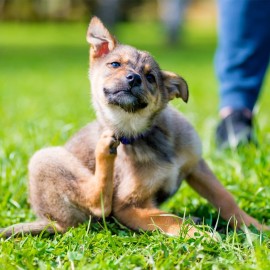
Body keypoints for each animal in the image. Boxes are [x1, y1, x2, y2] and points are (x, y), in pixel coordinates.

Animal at [0, 16, 266, 237]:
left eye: (150, 77)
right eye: (115, 64)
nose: (133, 78)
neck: (143, 134)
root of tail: (51, 222)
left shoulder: (197, 166)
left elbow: (225, 198)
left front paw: (254, 226)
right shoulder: (127, 206)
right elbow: (170, 219)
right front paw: (198, 234)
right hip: (44, 158)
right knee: (98, 203)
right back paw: (104, 150)